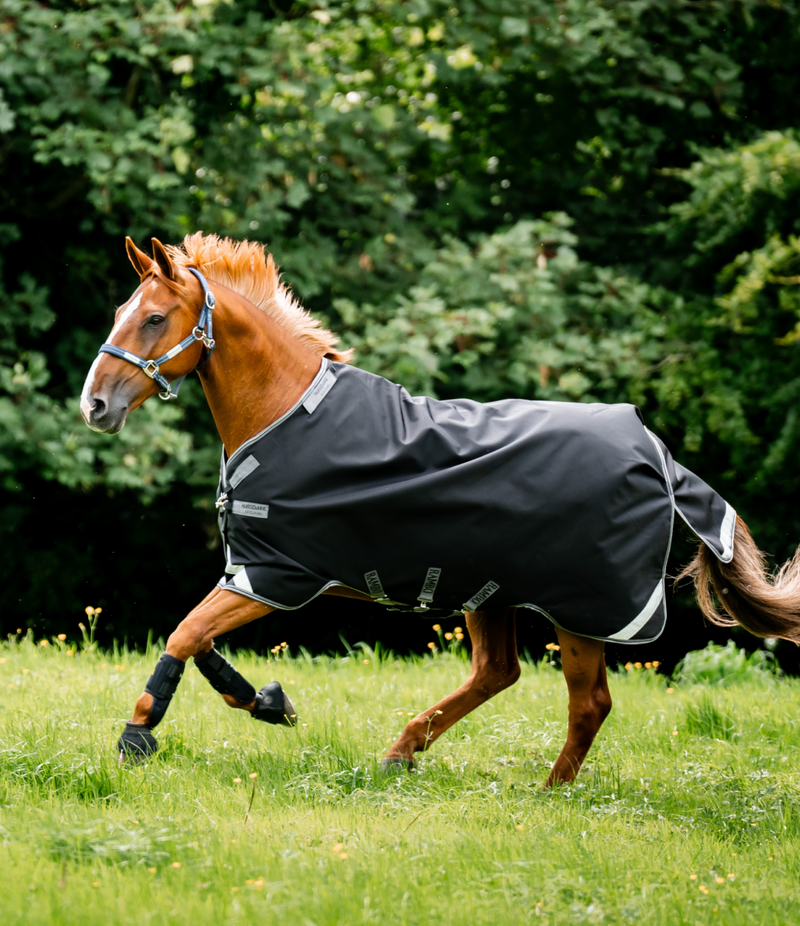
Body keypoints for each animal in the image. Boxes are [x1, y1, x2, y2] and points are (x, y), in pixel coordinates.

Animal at [80, 233, 800, 784]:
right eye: (119, 310)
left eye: (153, 318)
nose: (95, 405)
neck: (285, 411)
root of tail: (654, 450)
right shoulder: (255, 574)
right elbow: (200, 639)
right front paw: (267, 701)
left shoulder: (277, 575)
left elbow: (185, 633)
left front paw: (138, 735)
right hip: (493, 594)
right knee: (498, 674)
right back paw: (402, 754)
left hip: (580, 607)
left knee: (587, 702)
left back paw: (547, 791)